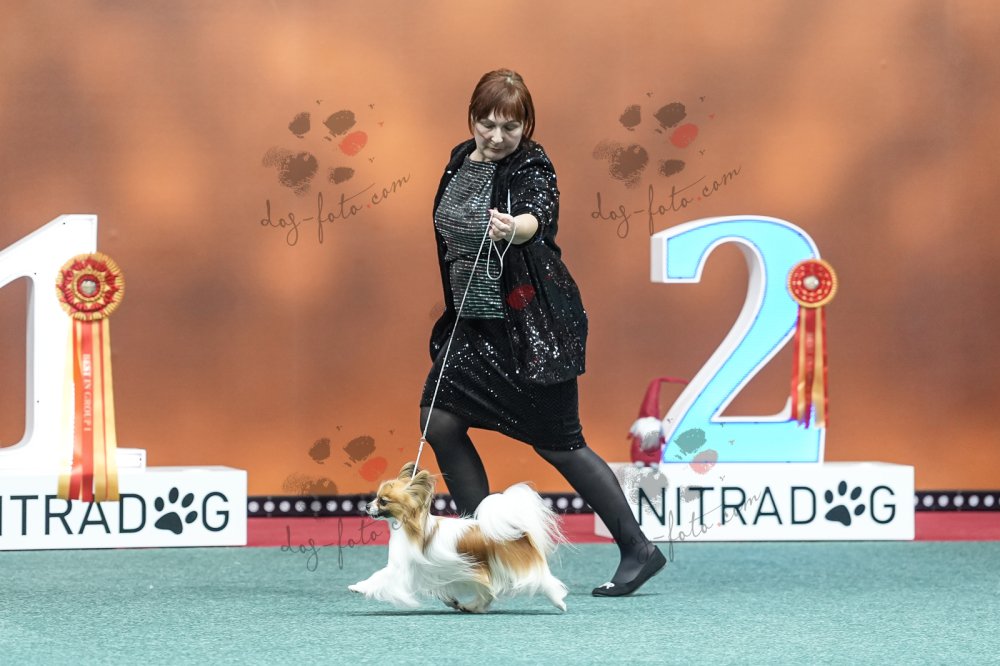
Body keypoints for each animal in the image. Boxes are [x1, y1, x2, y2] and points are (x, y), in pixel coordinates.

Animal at [348, 462, 568, 613]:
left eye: (383, 501)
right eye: (375, 498)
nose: (366, 506)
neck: (410, 525)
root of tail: (518, 532)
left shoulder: (399, 568)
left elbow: (378, 577)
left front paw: (358, 587)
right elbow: (440, 591)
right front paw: (451, 601)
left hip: (516, 569)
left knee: (545, 581)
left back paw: (559, 602)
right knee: (487, 594)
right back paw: (471, 606)